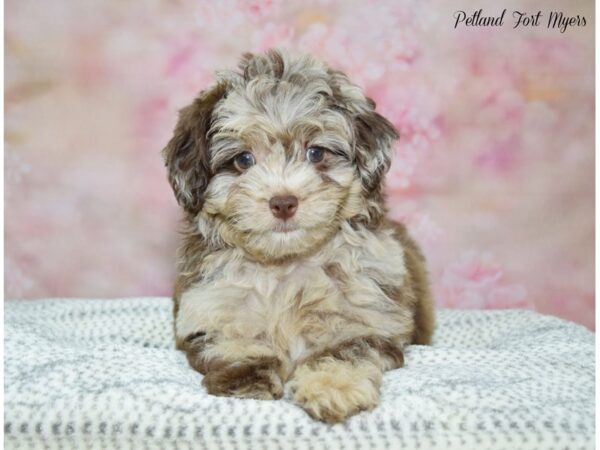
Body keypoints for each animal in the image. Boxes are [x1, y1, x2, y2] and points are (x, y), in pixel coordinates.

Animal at [164, 50, 434, 426]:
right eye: (243, 159)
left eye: (316, 153)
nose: (283, 202)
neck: (285, 265)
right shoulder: (209, 304)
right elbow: (233, 339)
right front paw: (246, 377)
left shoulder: (370, 315)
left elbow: (345, 351)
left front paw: (334, 388)